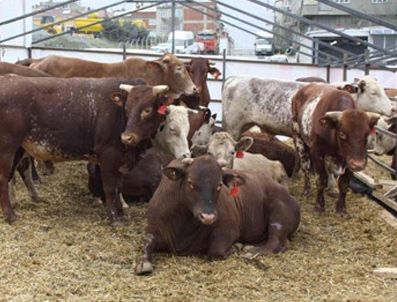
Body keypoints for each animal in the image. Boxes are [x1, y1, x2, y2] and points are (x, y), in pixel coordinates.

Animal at [0, 74, 172, 223]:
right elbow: (110, 187)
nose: (126, 137)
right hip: (7, 148)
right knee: (4, 177)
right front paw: (113, 217)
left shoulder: (119, 160)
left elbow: (118, 186)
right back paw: (10, 215)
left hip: (19, 148)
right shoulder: (108, 155)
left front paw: (121, 213)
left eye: (147, 110)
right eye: (127, 109)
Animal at [135, 156, 298, 276]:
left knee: (275, 242)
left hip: (279, 214)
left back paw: (251, 251)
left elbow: (215, 251)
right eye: (190, 183)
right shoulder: (153, 228)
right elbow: (145, 243)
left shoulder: (228, 229)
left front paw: (235, 246)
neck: (184, 223)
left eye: (219, 185)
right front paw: (143, 262)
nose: (208, 217)